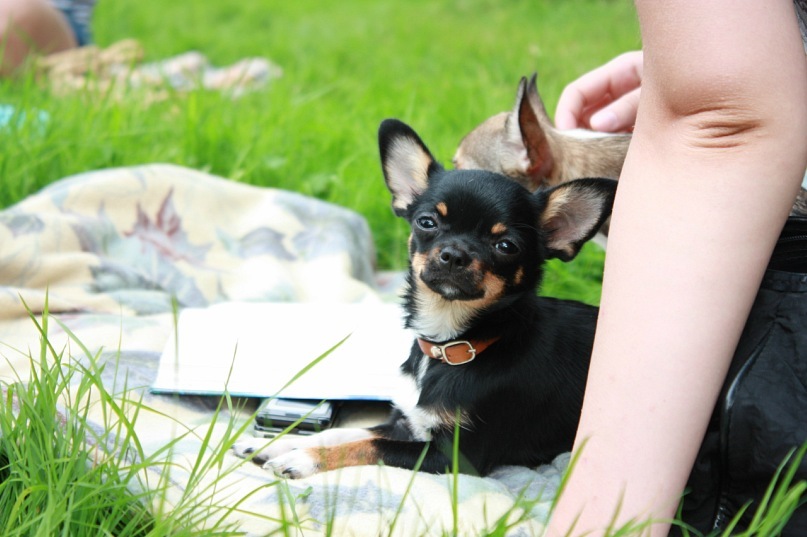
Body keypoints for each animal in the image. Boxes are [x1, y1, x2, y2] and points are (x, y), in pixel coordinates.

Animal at [232, 119, 617, 478]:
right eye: (427, 222)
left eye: (506, 246)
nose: (454, 254)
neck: (452, 346)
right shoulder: (407, 421)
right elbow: (343, 433)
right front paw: (275, 444)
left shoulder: (454, 456)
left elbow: (366, 445)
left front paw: (303, 458)